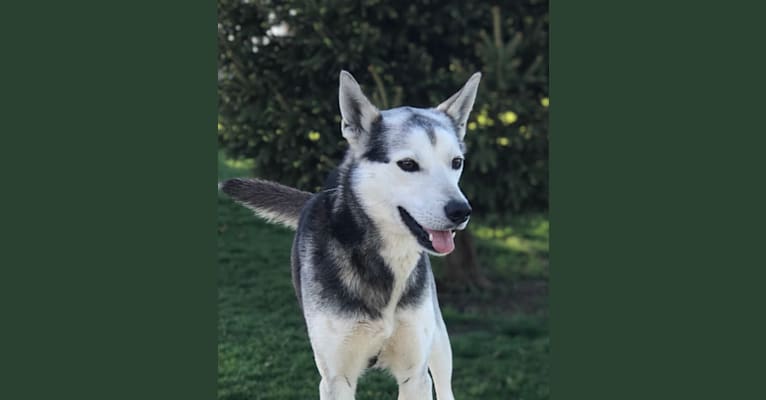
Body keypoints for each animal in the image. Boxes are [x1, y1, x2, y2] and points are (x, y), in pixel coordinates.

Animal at [220, 70, 480, 398]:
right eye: (408, 164)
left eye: (456, 163)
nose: (461, 211)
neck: (383, 260)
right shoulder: (336, 377)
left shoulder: (415, 376)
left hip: (439, 343)